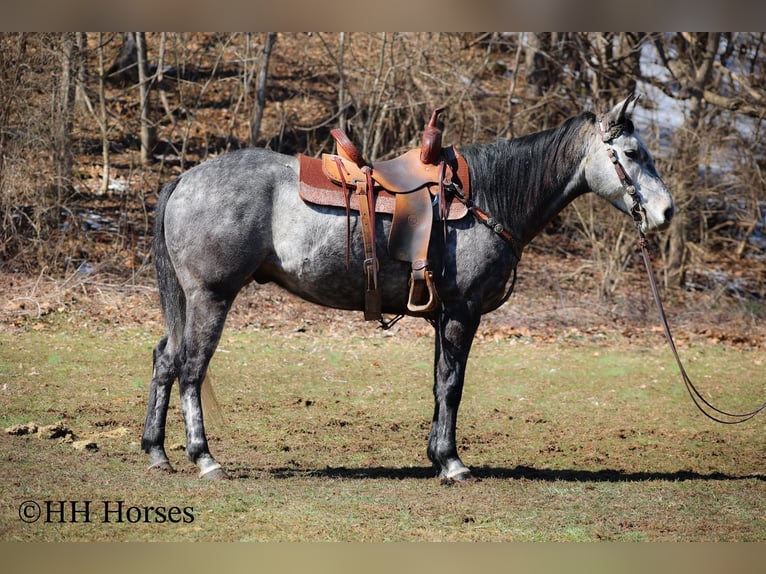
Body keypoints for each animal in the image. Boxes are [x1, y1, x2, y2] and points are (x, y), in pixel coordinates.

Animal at [141, 95, 676, 482]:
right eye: (632, 154)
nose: (666, 211)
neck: (486, 196)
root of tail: (186, 178)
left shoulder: (444, 316)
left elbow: (440, 383)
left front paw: (437, 455)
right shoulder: (462, 312)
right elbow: (453, 385)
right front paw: (452, 463)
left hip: (189, 300)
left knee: (165, 359)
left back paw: (156, 451)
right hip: (211, 297)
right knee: (190, 368)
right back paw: (204, 458)